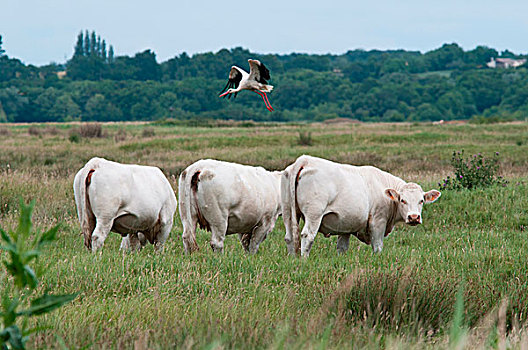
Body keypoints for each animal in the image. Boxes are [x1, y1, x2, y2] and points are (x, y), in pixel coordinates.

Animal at [280, 156, 442, 258]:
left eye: (421, 200)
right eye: (403, 200)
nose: (414, 217)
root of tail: (305, 160)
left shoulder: (344, 225)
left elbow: (342, 247)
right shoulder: (378, 221)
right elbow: (377, 246)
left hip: (288, 212)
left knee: (289, 237)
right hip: (314, 214)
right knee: (307, 235)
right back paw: (304, 260)